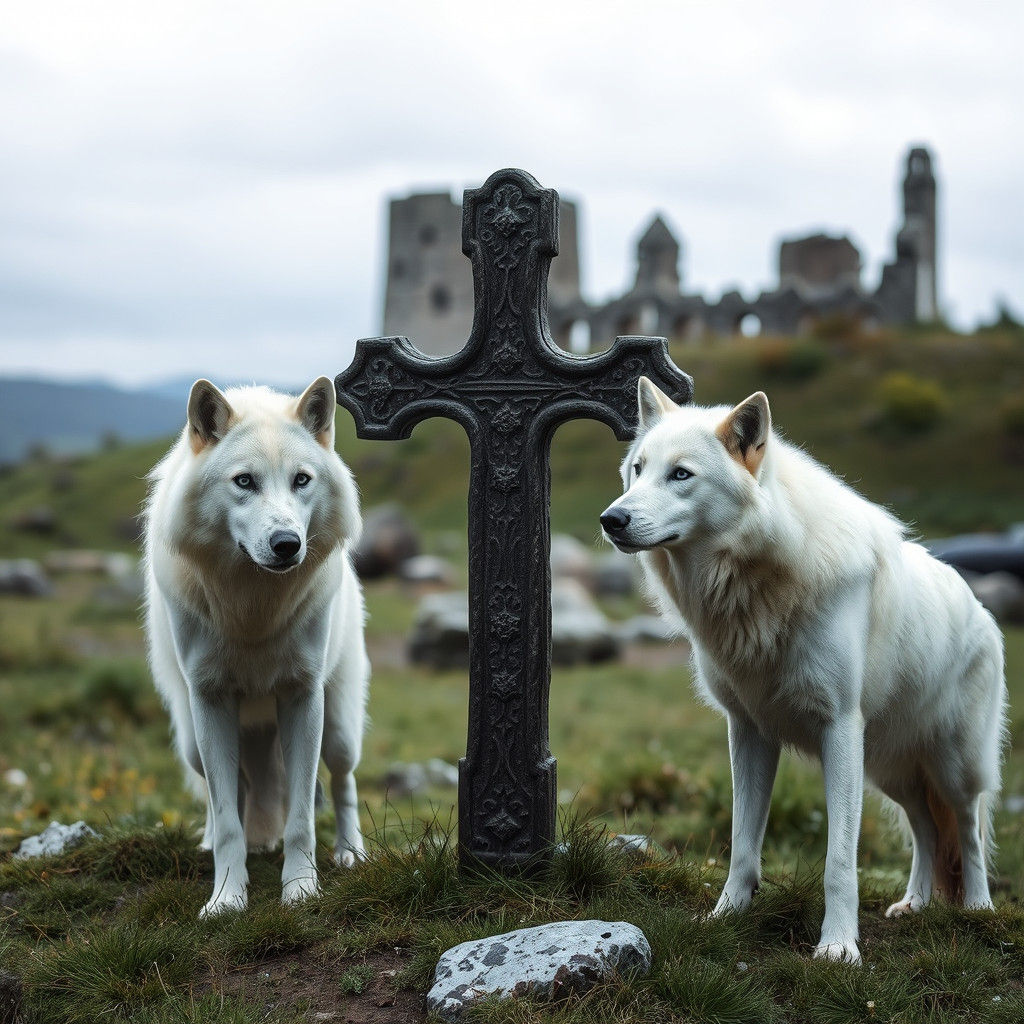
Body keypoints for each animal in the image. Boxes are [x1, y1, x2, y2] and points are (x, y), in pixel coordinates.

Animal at [144, 376, 368, 917]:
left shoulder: (303, 696)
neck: (253, 611)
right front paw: (227, 898)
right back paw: (217, 841)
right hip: (193, 741)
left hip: (339, 729)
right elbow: (228, 819)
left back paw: (350, 853)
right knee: (229, 792)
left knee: (343, 782)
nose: (288, 544)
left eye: (301, 480)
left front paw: (301, 890)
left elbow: (302, 819)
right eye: (244, 481)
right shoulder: (210, 699)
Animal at [600, 378, 1006, 963]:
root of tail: (978, 603)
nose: (611, 519)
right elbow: (742, 847)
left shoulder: (839, 728)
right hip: (889, 771)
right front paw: (725, 919)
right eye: (638, 468)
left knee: (969, 832)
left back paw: (977, 910)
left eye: (681, 474)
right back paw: (915, 905)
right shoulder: (748, 731)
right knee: (927, 829)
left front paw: (838, 949)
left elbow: (839, 863)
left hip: (951, 765)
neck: (755, 588)